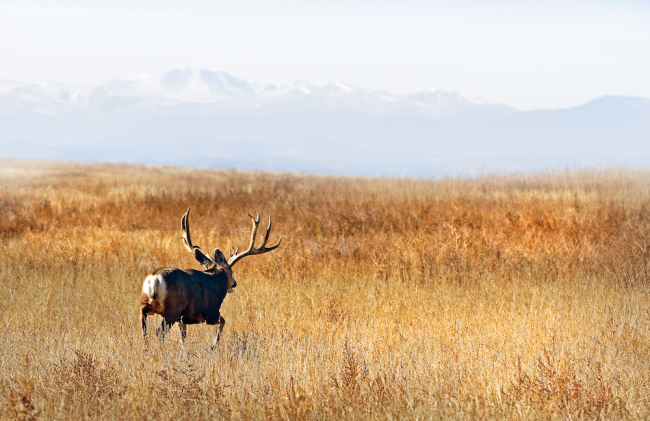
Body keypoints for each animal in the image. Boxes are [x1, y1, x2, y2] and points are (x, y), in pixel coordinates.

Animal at [139, 207, 280, 348]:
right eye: (231, 271)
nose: (234, 283)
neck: (216, 280)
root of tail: (154, 280)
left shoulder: (182, 319)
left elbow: (183, 338)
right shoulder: (210, 312)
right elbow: (223, 321)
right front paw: (213, 346)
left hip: (144, 306)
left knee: (144, 329)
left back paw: (147, 349)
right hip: (172, 310)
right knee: (159, 332)